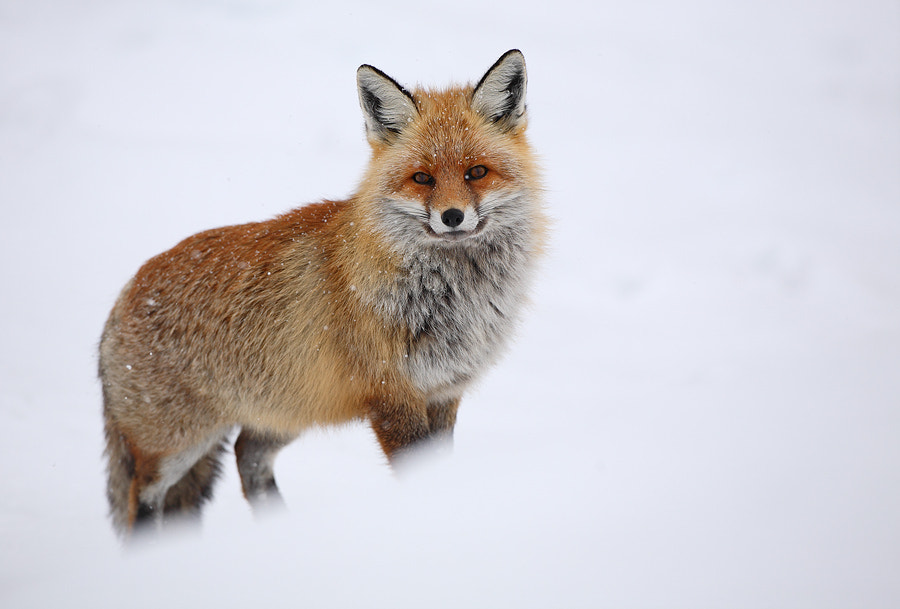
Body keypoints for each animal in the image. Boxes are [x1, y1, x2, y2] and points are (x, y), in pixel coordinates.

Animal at [101, 51, 544, 536]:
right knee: (142, 499)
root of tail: (122, 296)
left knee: (246, 457)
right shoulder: (392, 396)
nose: (452, 216)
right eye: (422, 178)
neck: (452, 298)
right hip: (176, 443)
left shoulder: (443, 391)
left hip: (285, 411)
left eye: (477, 172)